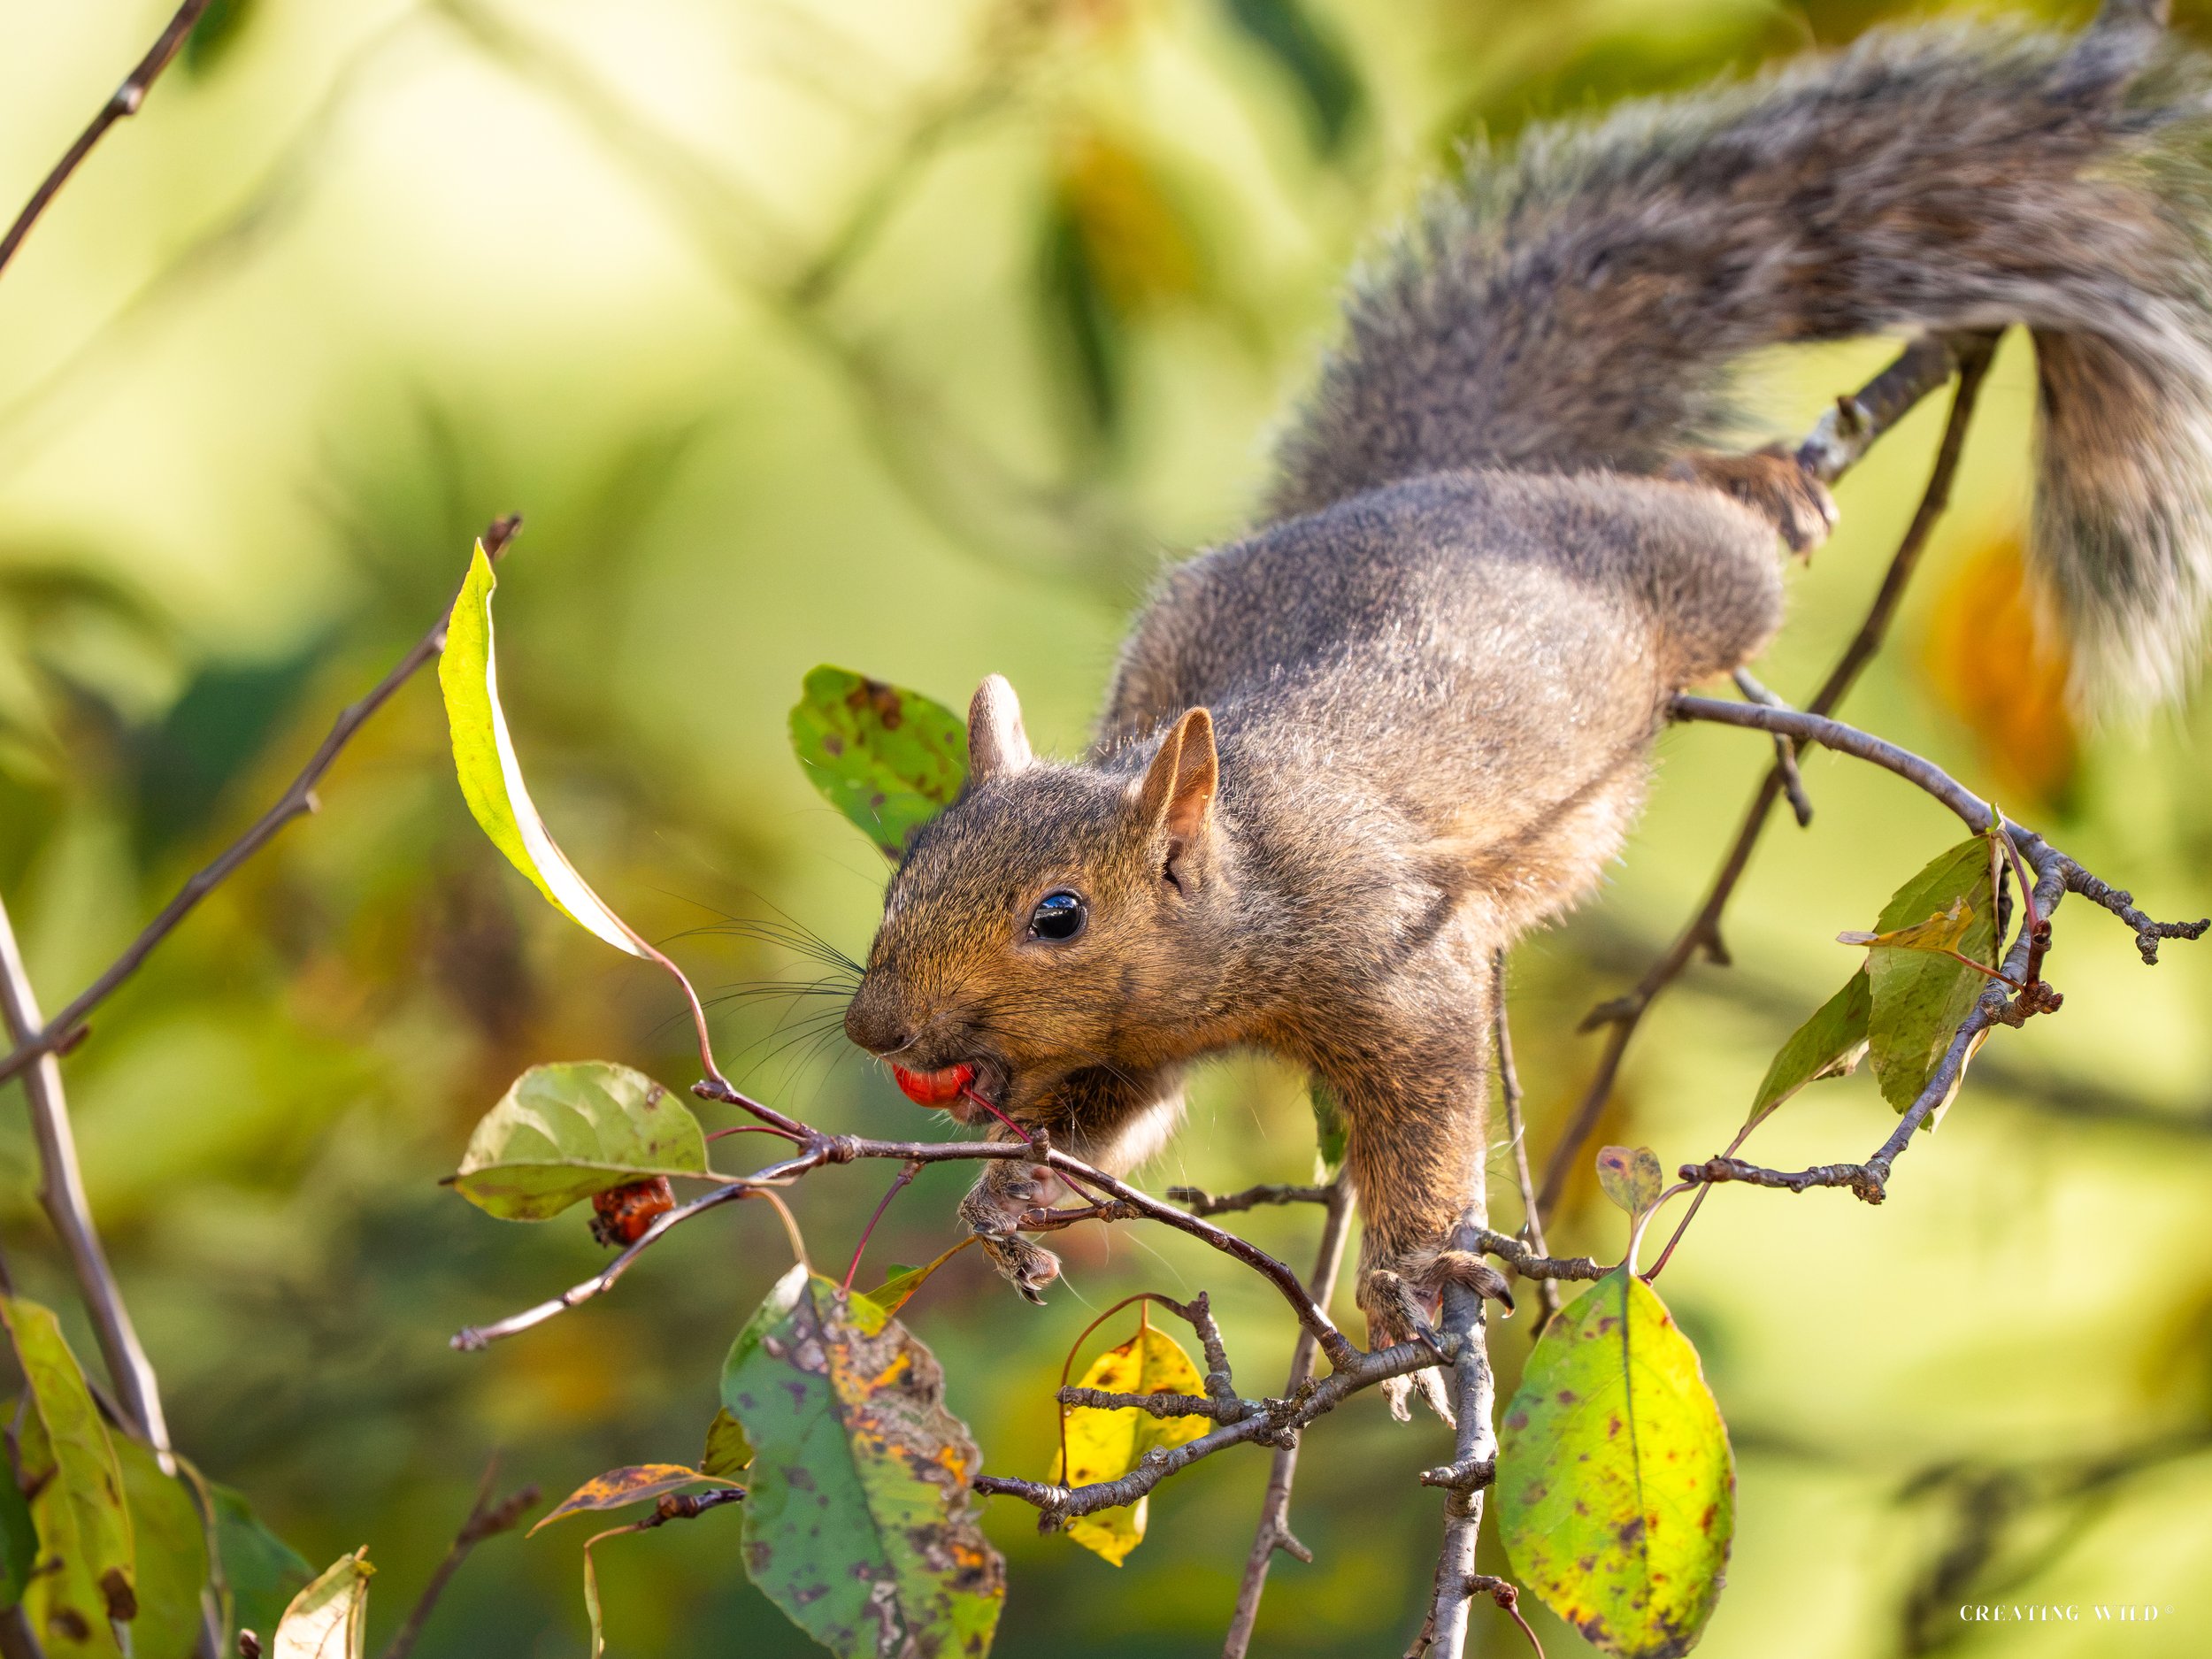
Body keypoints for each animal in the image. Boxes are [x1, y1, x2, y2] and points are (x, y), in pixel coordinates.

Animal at [841, 4, 2212, 1417]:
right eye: (904, 871)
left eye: (1058, 916)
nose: (876, 1027)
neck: (1239, 892)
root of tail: (1466, 479)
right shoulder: (1132, 1042)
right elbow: (1109, 1119)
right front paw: (1011, 1196)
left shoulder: (1401, 964)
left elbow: (1423, 1122)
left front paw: (1406, 1276)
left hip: (1687, 579)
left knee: (1716, 542)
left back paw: (1754, 479)